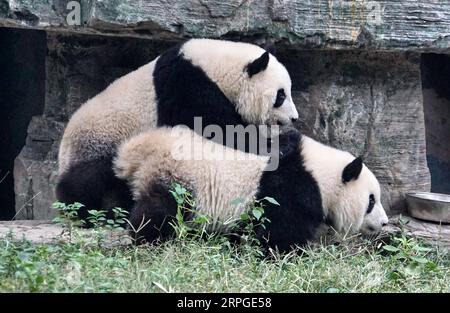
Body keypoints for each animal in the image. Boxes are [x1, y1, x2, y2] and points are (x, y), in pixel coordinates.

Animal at [55, 39, 298, 219]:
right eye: (281, 95)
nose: (294, 118)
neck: (218, 67)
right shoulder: (186, 85)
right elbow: (218, 128)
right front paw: (282, 144)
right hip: (100, 140)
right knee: (87, 179)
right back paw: (84, 210)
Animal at [113, 125, 390, 251]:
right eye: (371, 201)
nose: (385, 222)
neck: (321, 174)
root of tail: (146, 151)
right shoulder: (293, 190)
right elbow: (279, 232)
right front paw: (288, 253)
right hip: (179, 184)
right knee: (157, 214)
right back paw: (148, 239)